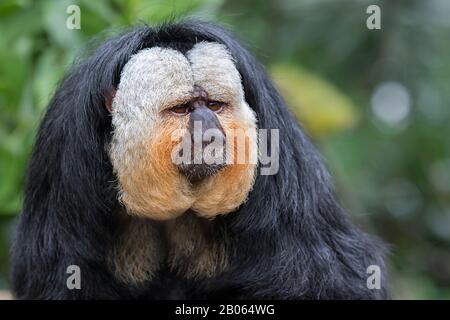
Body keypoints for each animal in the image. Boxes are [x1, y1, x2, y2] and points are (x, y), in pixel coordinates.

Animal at [12, 21, 388, 300]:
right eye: (182, 109)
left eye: (214, 105)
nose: (210, 133)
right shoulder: (64, 147)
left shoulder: (279, 142)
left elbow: (334, 276)